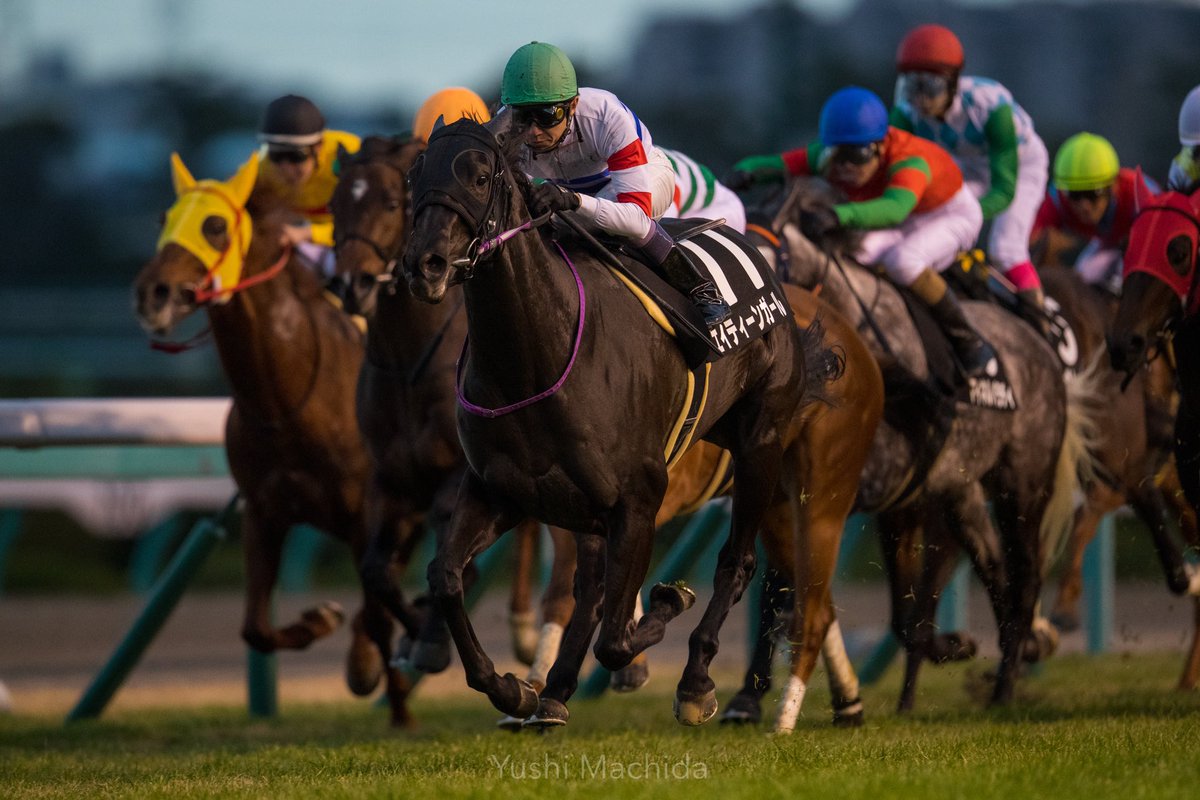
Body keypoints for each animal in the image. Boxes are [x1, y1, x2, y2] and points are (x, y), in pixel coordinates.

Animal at [132, 154, 417, 724]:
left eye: (215, 226)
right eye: (163, 219)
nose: (152, 293)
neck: (287, 403)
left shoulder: (365, 514)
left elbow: (379, 609)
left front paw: (390, 693)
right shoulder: (263, 512)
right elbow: (256, 629)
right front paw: (321, 620)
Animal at [400, 118, 806, 724]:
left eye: (479, 176)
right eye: (414, 174)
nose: (424, 265)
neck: (534, 356)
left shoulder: (638, 499)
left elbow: (617, 638)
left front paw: (669, 599)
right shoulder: (500, 491)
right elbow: (446, 578)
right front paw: (511, 689)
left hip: (762, 443)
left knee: (736, 561)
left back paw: (695, 681)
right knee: (589, 589)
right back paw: (552, 694)